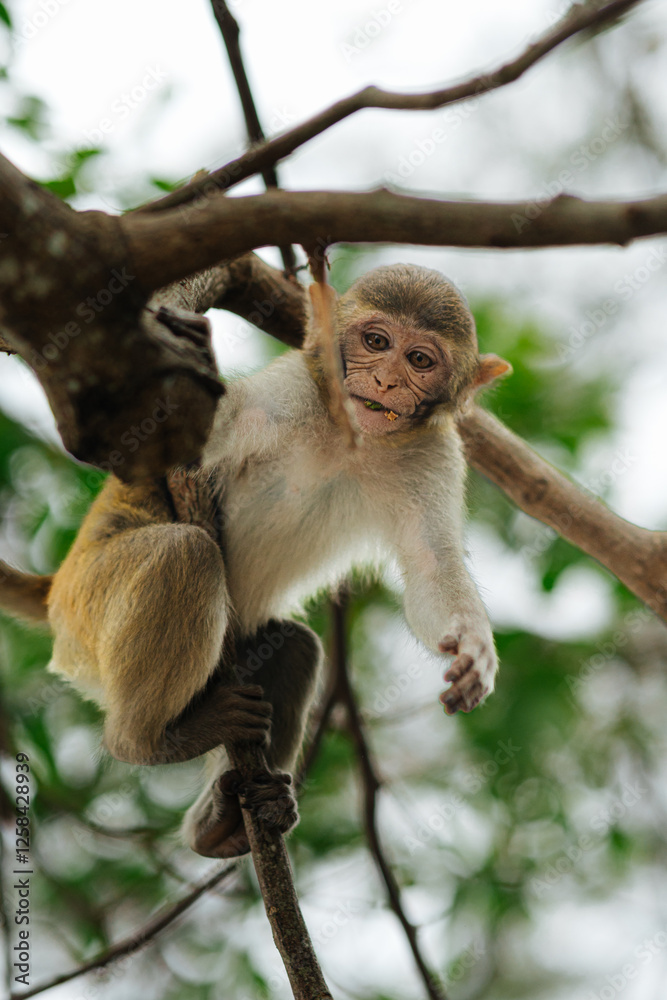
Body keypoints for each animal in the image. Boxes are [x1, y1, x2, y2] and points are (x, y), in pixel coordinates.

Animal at [0, 263, 511, 859]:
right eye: (377, 342)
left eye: (420, 360)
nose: (386, 382)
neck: (350, 436)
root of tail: (55, 587)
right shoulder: (286, 395)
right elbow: (114, 447)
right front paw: (189, 353)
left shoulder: (432, 453)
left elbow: (433, 569)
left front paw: (474, 651)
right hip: (90, 603)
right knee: (186, 553)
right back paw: (145, 741)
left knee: (295, 646)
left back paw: (225, 820)